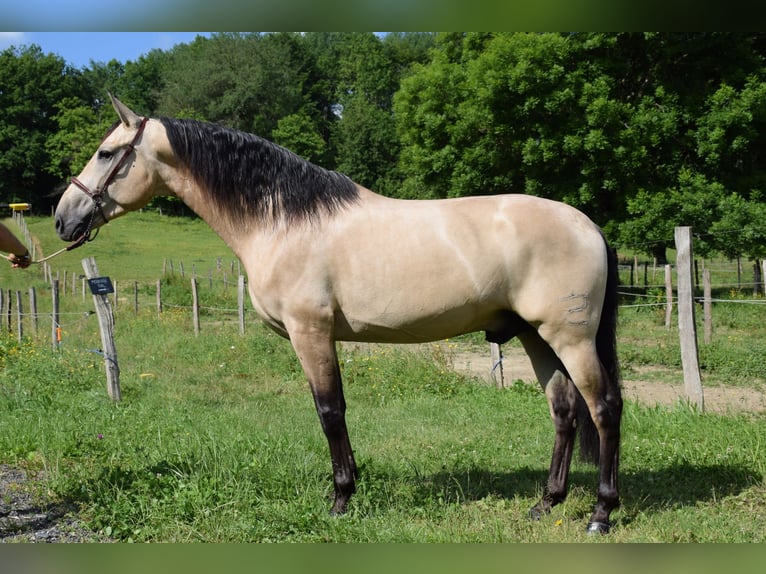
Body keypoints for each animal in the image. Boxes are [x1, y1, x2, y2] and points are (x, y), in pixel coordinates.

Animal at [55, 95, 624, 536]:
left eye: (106, 153)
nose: (63, 219)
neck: (283, 220)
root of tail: (588, 226)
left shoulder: (311, 332)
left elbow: (329, 411)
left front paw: (342, 499)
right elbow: (337, 410)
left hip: (570, 339)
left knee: (604, 409)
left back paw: (601, 513)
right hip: (537, 337)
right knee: (564, 412)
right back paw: (546, 503)